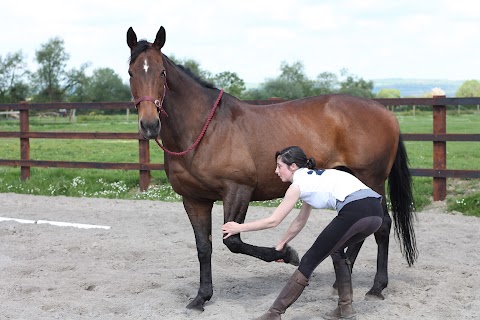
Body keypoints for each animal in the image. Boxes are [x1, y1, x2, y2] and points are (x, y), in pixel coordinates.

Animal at [127, 26, 416, 312]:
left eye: (161, 72)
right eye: (131, 72)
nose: (149, 124)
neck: (204, 130)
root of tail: (385, 112)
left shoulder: (238, 191)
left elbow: (233, 241)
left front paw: (288, 254)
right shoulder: (194, 199)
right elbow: (203, 247)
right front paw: (201, 297)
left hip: (371, 180)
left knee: (382, 225)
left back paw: (376, 287)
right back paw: (341, 280)